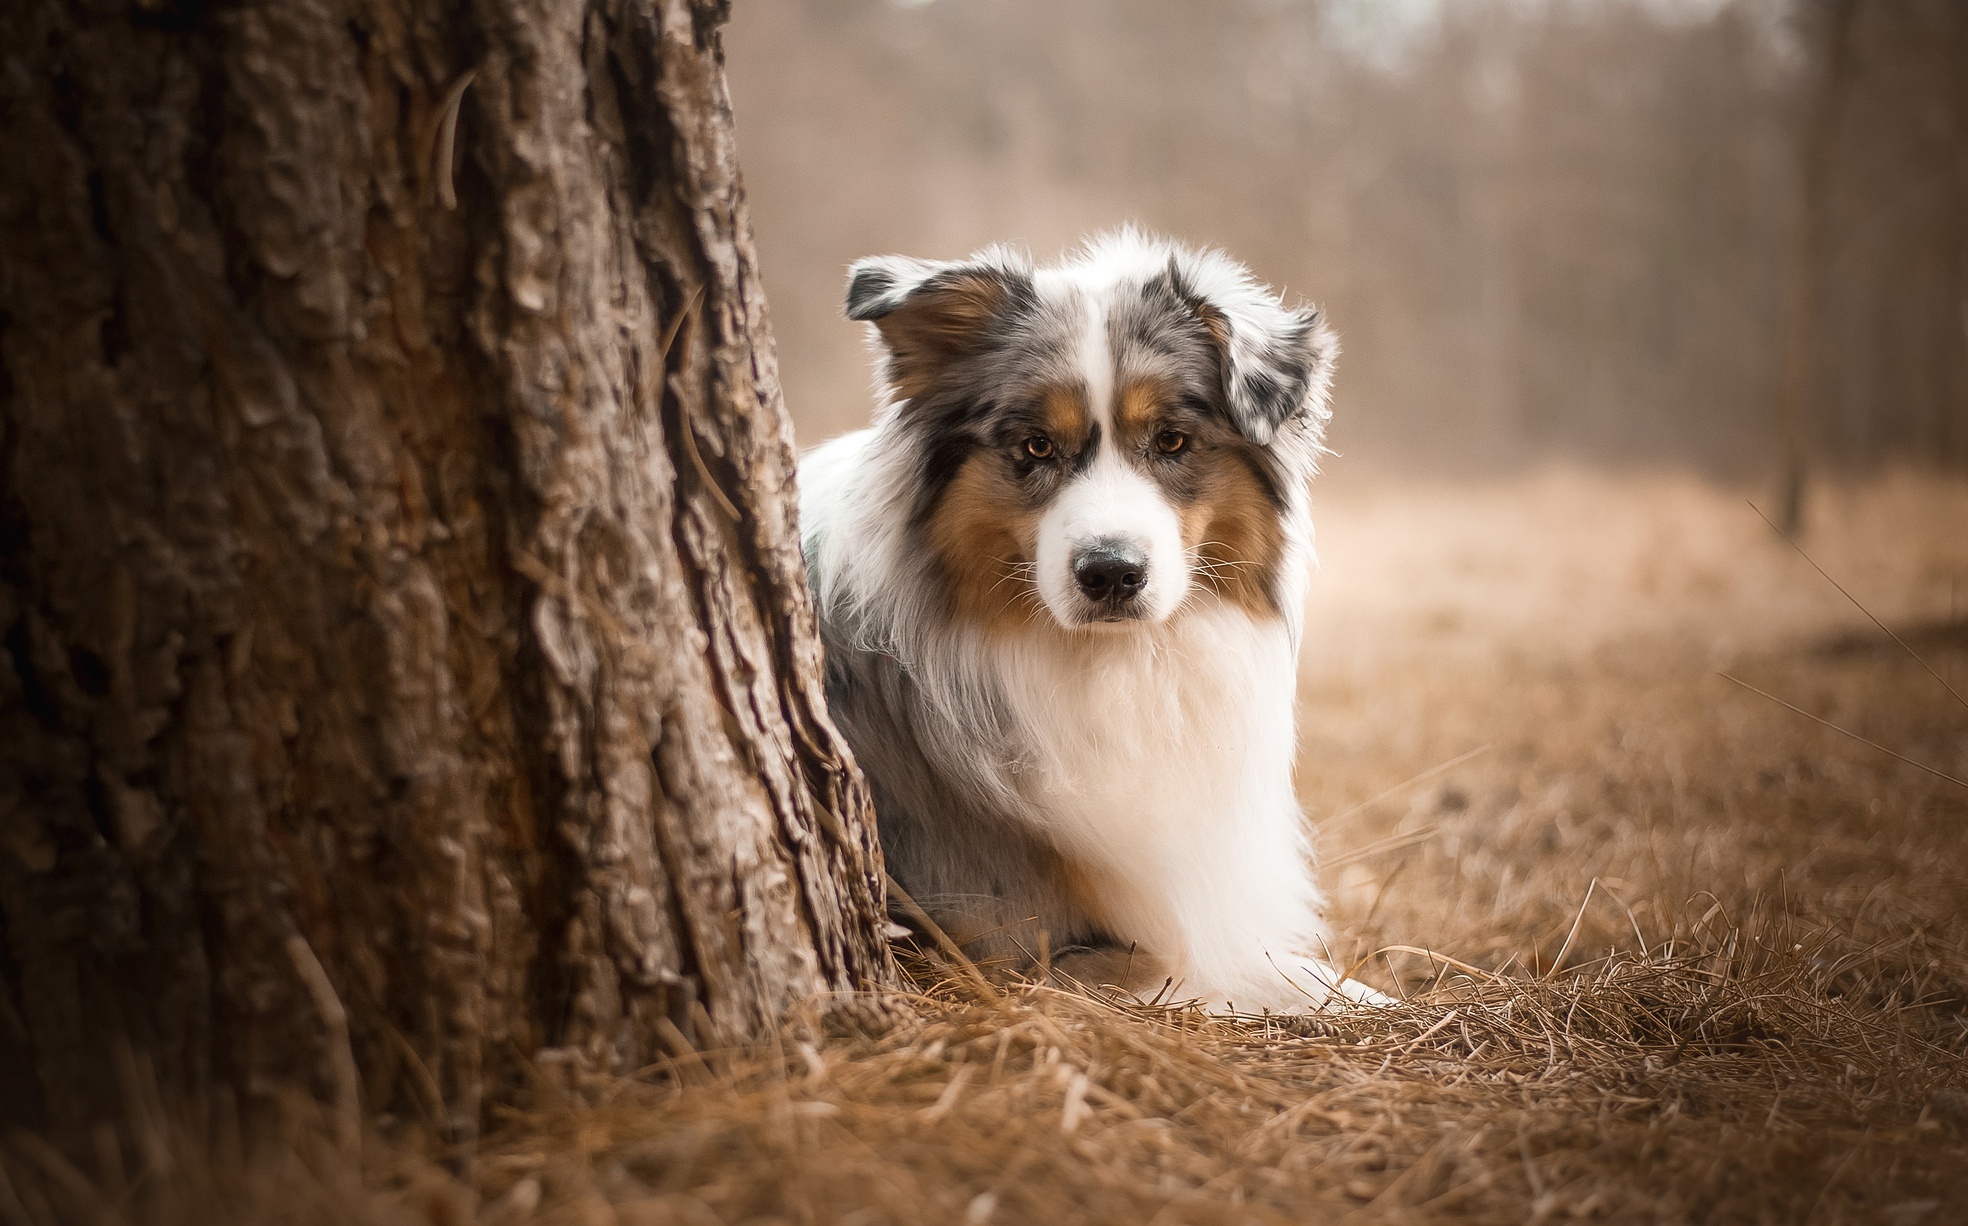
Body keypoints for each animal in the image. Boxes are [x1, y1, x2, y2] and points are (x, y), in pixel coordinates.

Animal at [799, 230, 1385, 1015]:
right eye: (1037, 446)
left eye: (1171, 440)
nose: (1111, 573)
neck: (1116, 662)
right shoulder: (995, 946)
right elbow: (1189, 959)